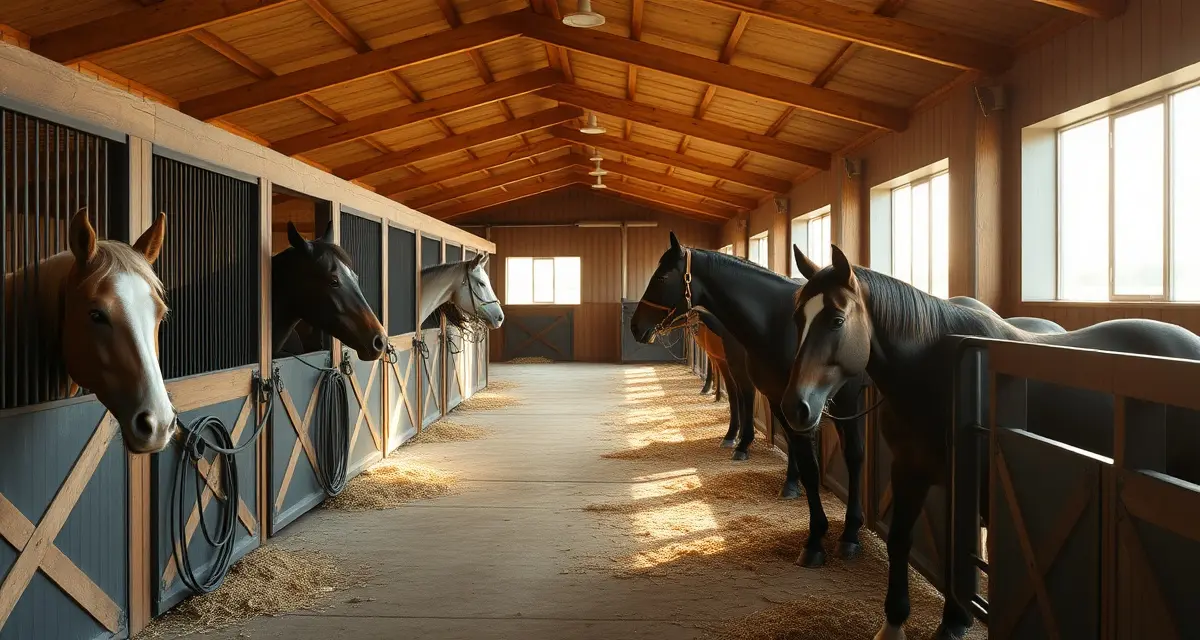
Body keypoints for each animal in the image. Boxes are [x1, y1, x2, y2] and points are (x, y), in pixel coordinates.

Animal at [630, 232, 870, 567]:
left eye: (662, 277)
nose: (635, 326)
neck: (776, 323)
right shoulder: (779, 397)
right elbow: (796, 452)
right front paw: (792, 488)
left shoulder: (808, 403)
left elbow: (820, 462)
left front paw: (823, 538)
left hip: (847, 401)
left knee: (855, 456)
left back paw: (850, 534)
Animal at [783, 244, 1200, 640]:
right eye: (798, 318)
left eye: (836, 320)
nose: (795, 407)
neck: (938, 374)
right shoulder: (909, 470)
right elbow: (902, 539)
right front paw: (895, 623)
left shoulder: (976, 483)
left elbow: (965, 550)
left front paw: (955, 620)